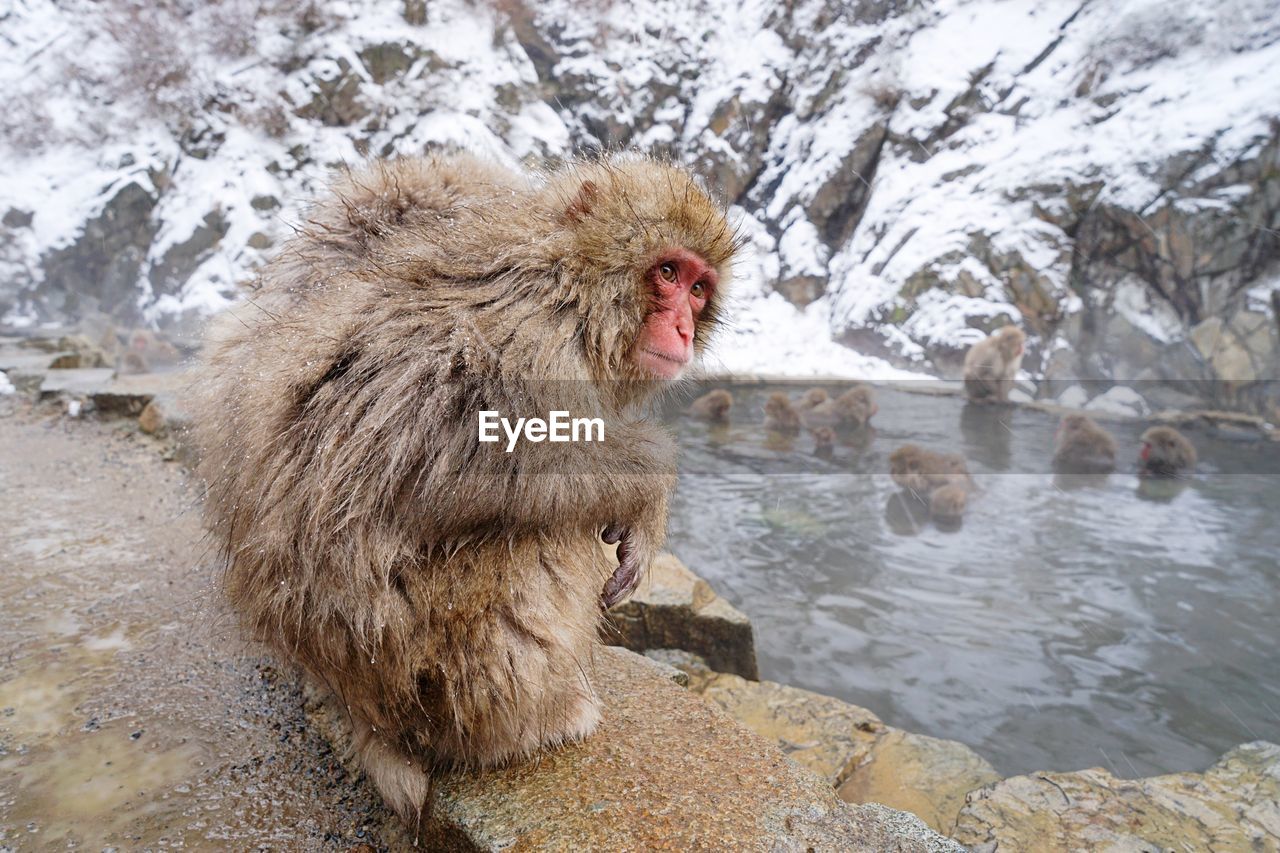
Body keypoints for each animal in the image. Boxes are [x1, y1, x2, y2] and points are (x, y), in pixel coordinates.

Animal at [195, 149, 747, 819]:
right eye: (667, 272)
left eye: (698, 289)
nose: (684, 328)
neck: (572, 284)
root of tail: (362, 703)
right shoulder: (529, 334)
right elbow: (457, 457)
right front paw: (650, 484)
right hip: (422, 656)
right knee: (534, 543)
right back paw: (535, 724)